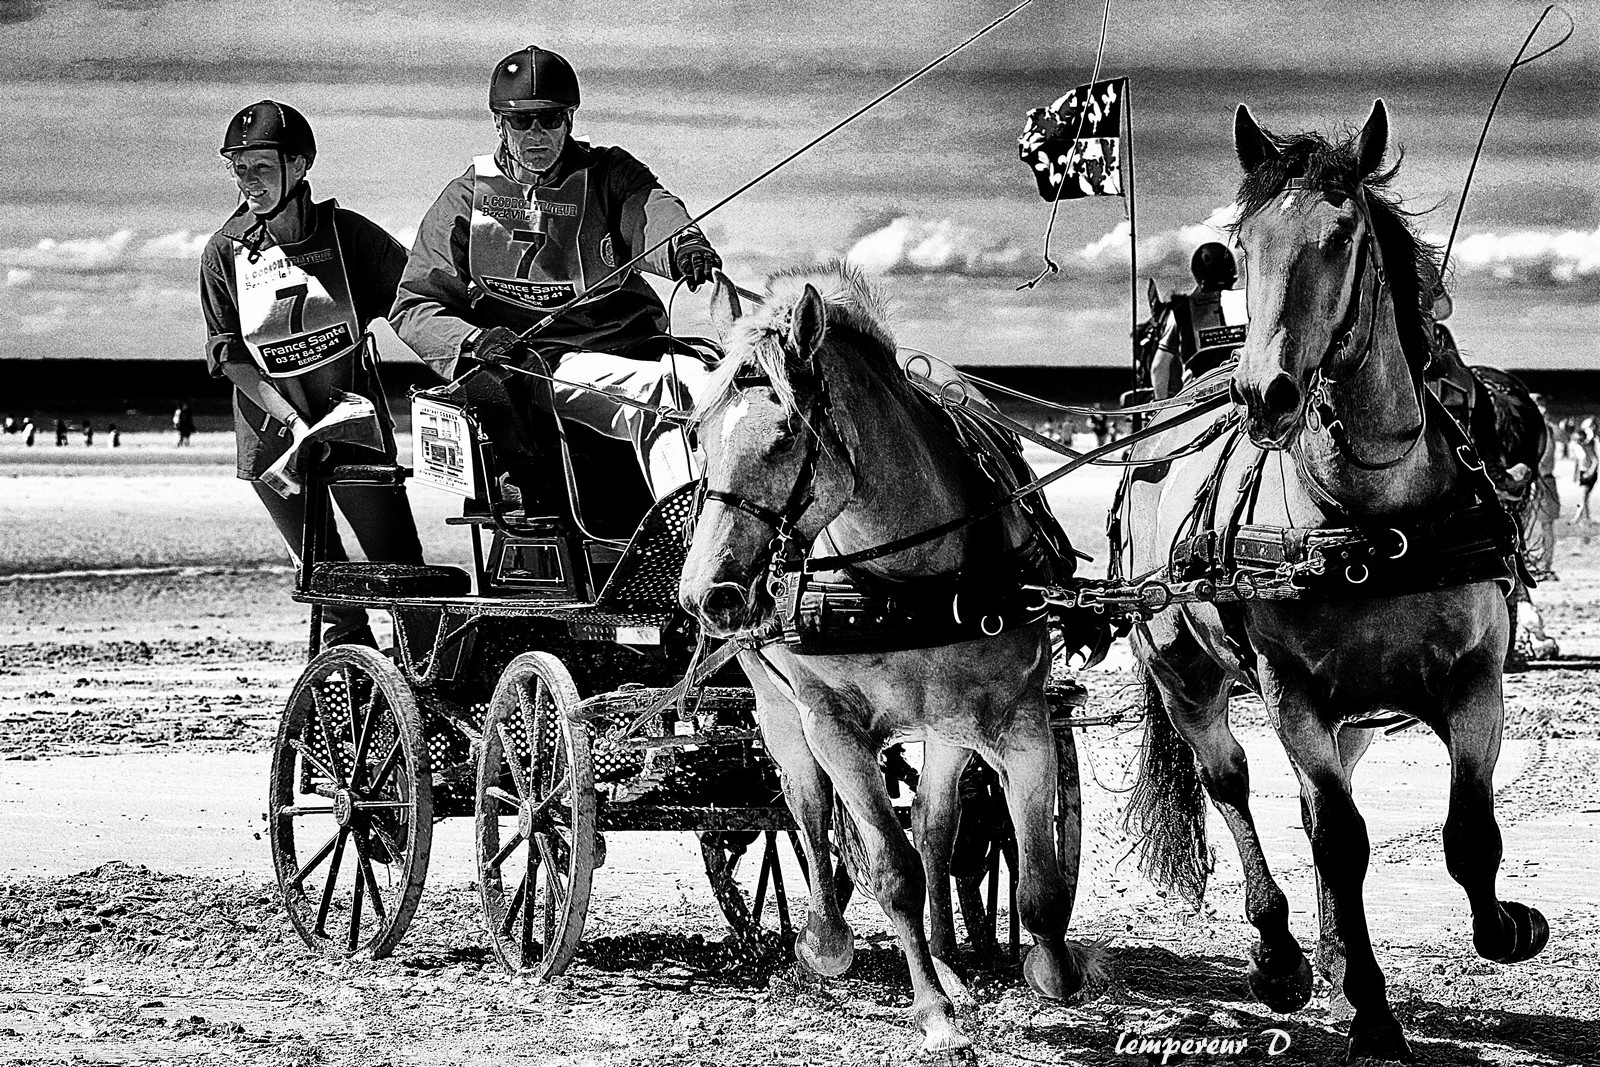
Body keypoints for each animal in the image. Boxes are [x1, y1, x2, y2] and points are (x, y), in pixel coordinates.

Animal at [675, 265, 1100, 1062]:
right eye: (698, 434)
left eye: (786, 435)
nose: (706, 594)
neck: (908, 575)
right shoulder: (833, 727)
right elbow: (889, 867)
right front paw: (932, 1012)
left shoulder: (1021, 721)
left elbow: (1036, 882)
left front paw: (1049, 969)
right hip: (781, 714)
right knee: (808, 813)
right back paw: (825, 940)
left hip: (946, 728)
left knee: (936, 827)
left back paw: (951, 960)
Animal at [1113, 97, 1548, 1062]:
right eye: (1245, 242)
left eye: (1342, 236)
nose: (1264, 395)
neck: (1376, 511)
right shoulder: (1293, 692)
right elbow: (1345, 841)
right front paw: (1374, 1012)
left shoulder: (1474, 679)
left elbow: (1469, 834)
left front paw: (1508, 925)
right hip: (1187, 673)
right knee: (1234, 784)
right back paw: (1280, 951)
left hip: (1355, 718)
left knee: (1317, 816)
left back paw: (1334, 943)